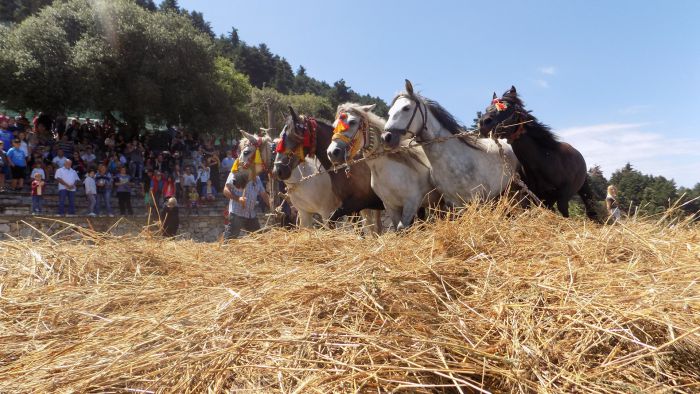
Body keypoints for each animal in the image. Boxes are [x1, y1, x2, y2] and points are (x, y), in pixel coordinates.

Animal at [478, 86, 600, 220]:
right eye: (486, 108)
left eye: (507, 107)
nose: (483, 122)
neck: (545, 161)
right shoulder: (528, 196)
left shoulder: (563, 197)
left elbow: (564, 214)